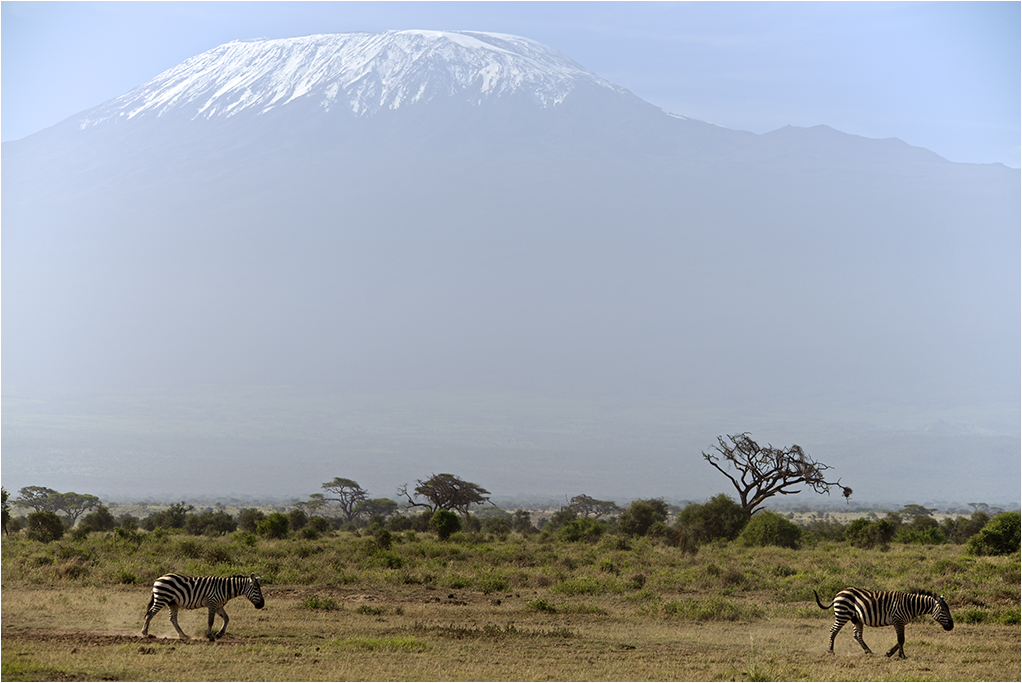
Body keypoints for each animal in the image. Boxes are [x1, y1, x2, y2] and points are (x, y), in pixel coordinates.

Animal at [809, 584, 952, 658]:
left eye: (947, 609)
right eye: (943, 610)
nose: (951, 626)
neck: (910, 605)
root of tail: (838, 594)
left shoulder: (900, 622)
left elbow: (900, 640)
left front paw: (889, 653)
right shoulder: (898, 620)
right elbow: (901, 639)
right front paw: (901, 656)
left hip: (856, 618)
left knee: (857, 635)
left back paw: (868, 651)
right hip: (843, 614)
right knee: (833, 630)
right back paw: (830, 651)